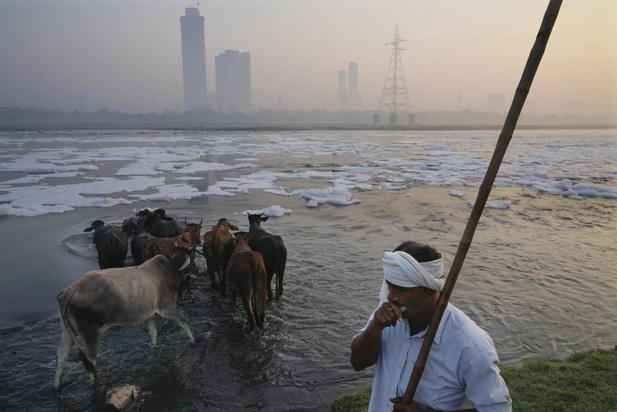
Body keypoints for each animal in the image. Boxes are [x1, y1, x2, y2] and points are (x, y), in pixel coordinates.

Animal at [55, 248, 196, 390]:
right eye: (192, 259)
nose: (196, 270)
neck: (169, 269)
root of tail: (71, 289)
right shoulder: (167, 309)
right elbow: (185, 324)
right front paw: (194, 342)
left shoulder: (149, 317)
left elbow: (154, 335)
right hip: (91, 335)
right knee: (90, 363)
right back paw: (96, 384)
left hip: (68, 333)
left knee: (61, 358)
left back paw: (57, 387)